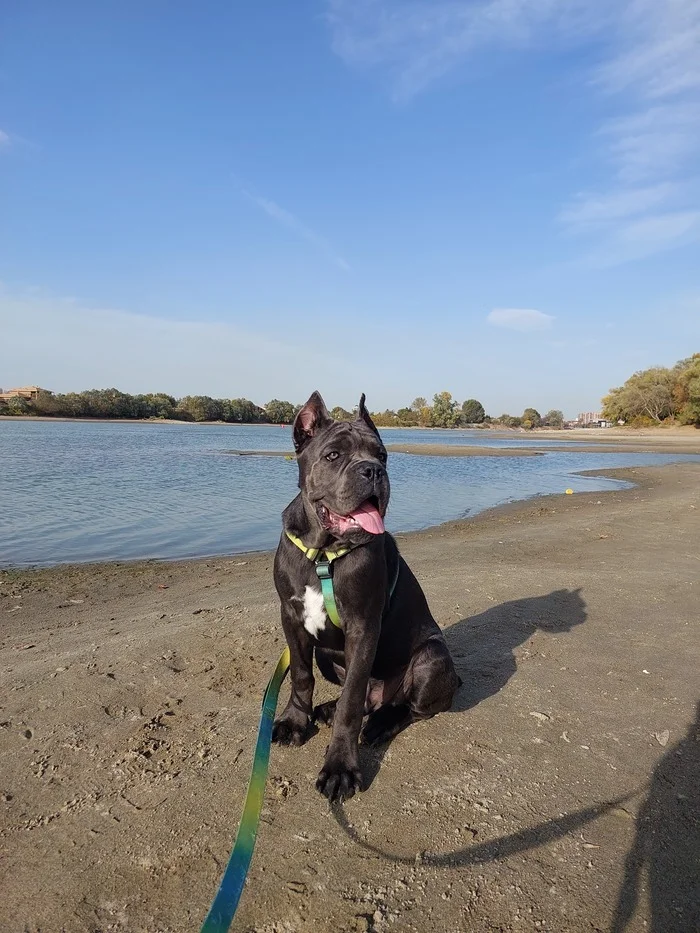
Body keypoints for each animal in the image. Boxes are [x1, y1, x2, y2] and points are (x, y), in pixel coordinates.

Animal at [270, 392, 462, 800]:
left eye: (383, 456)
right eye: (333, 455)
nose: (372, 471)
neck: (323, 553)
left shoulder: (363, 628)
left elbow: (352, 701)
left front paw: (340, 767)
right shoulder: (291, 617)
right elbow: (301, 676)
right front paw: (296, 721)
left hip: (432, 657)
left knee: (406, 707)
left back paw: (378, 723)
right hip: (327, 656)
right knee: (359, 698)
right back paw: (328, 710)